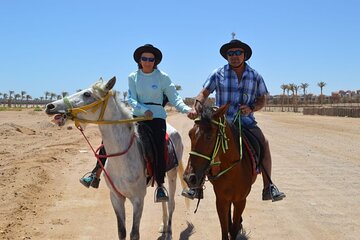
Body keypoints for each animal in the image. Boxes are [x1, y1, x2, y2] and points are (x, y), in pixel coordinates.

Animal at [44, 77, 187, 240]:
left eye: (87, 94)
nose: (50, 106)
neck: (122, 158)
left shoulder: (138, 199)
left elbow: (134, 233)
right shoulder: (116, 198)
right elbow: (121, 231)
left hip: (172, 173)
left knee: (171, 203)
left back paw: (168, 231)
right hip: (159, 177)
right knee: (164, 199)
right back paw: (163, 226)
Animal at [184, 104, 258, 239]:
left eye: (209, 136)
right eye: (190, 134)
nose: (189, 177)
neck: (233, 172)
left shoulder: (241, 201)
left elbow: (233, 231)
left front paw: (236, 225)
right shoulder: (221, 200)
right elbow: (225, 230)